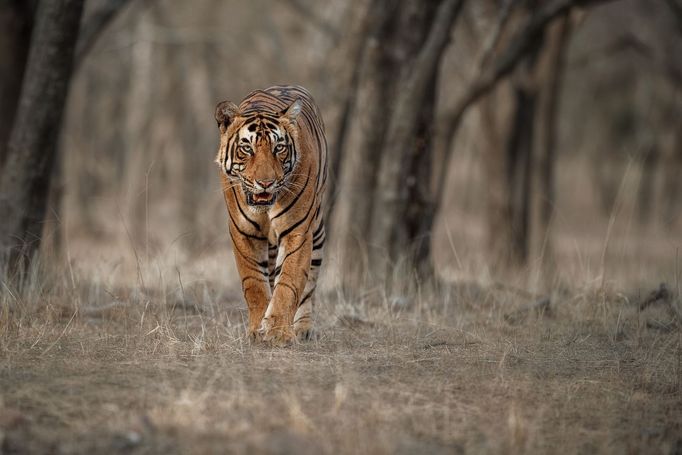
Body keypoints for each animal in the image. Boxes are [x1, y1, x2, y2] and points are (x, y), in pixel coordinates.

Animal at [214, 85, 328, 348]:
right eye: (247, 148)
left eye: (279, 148)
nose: (265, 183)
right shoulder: (243, 233)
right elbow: (254, 284)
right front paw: (257, 330)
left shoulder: (298, 231)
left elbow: (289, 282)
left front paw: (278, 332)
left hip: (317, 229)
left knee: (309, 282)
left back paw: (303, 328)